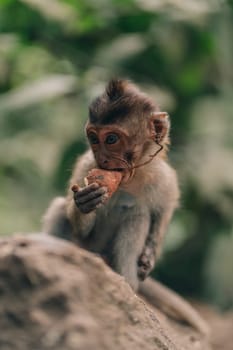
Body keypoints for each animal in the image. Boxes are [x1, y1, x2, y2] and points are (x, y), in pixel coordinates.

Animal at [43, 79, 209, 336]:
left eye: (111, 139)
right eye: (94, 138)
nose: (102, 158)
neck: (128, 179)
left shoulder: (163, 178)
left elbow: (163, 211)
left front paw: (149, 255)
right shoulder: (87, 165)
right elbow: (75, 215)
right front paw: (85, 203)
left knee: (138, 216)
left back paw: (127, 283)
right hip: (83, 247)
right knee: (60, 207)